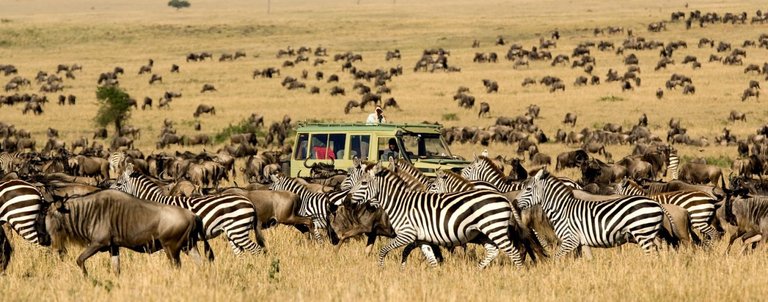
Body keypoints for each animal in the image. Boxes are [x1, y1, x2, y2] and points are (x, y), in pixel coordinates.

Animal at [111, 164, 268, 256]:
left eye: (118, 184)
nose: (107, 191)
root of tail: (249, 202)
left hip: (238, 230)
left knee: (257, 250)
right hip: (233, 232)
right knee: (241, 254)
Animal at [350, 164, 524, 268]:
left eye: (363, 183)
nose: (348, 199)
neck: (400, 203)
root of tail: (504, 198)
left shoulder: (407, 234)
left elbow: (384, 250)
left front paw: (381, 269)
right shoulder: (421, 238)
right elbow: (429, 258)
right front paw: (435, 276)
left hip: (494, 228)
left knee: (514, 252)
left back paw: (519, 274)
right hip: (484, 232)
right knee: (493, 251)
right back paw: (478, 270)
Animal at [520, 169, 664, 258]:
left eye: (528, 189)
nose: (515, 201)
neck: (562, 209)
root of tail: (658, 205)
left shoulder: (570, 240)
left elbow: (556, 258)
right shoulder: (582, 242)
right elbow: (589, 259)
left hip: (642, 233)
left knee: (652, 254)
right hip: (649, 234)